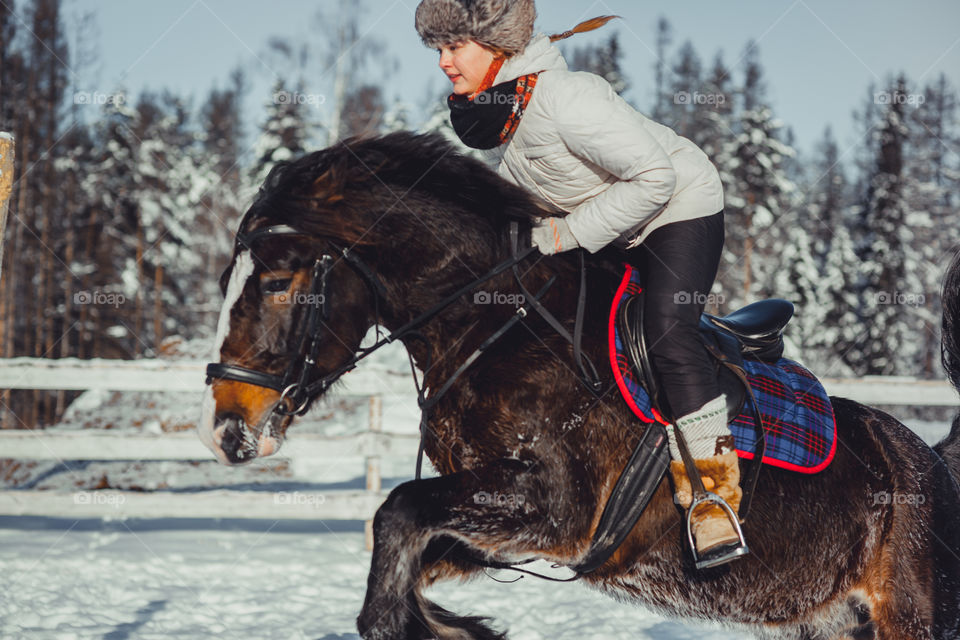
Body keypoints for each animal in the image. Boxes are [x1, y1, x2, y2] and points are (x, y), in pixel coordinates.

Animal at [197, 131, 960, 640]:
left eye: (276, 281)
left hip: (911, 615)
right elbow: (411, 545)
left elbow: (397, 513)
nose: (226, 430)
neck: (493, 328)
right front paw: (455, 624)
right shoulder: (493, 521)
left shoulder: (557, 510)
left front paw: (399, 622)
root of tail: (928, 459)